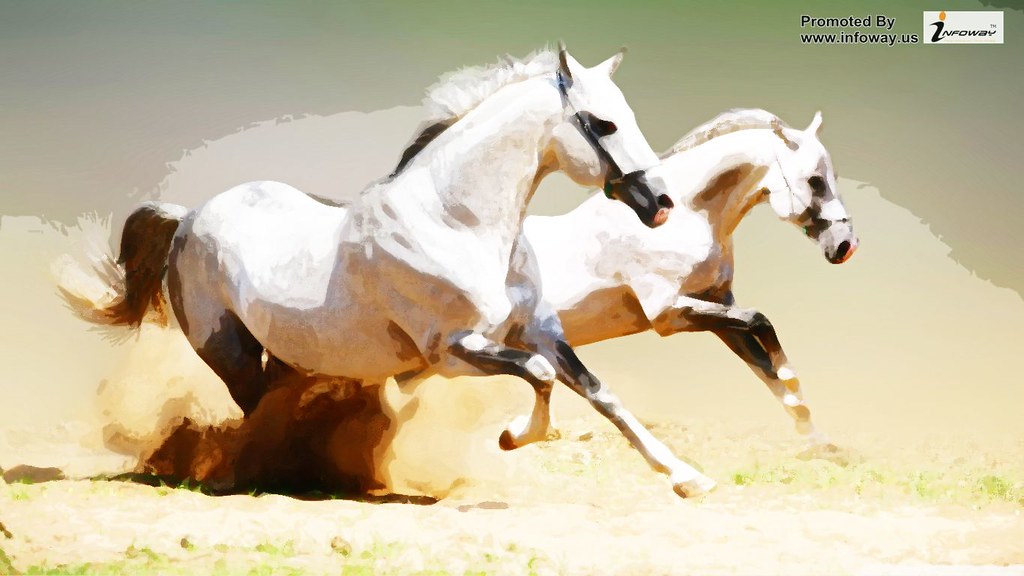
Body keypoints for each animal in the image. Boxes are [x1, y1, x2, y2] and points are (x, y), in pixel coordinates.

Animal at [63, 47, 723, 497]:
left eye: (627, 115)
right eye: (602, 123)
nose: (660, 203)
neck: (457, 222)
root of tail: (189, 217)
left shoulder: (538, 331)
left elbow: (598, 391)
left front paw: (686, 477)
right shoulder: (451, 351)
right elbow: (538, 378)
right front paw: (513, 436)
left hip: (284, 353)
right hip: (228, 350)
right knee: (254, 413)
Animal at [505, 109, 858, 483]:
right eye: (815, 181)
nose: (845, 245)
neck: (687, 217)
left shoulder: (719, 309)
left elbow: (765, 369)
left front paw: (819, 442)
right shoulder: (669, 315)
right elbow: (760, 322)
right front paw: (792, 381)